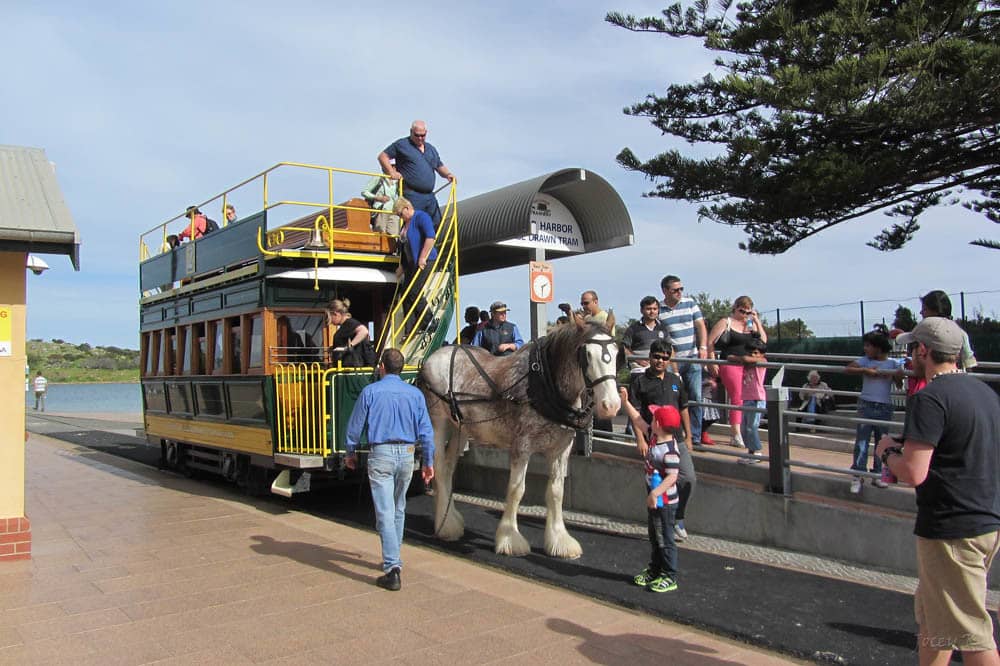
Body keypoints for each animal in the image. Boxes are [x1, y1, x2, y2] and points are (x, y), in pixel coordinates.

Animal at [416, 312, 616, 556]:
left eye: (616, 351)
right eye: (587, 354)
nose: (611, 405)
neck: (543, 382)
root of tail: (434, 356)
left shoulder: (561, 448)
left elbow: (556, 491)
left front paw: (559, 540)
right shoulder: (522, 445)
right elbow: (516, 490)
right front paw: (509, 539)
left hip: (460, 428)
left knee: (447, 468)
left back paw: (449, 520)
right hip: (438, 421)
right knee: (436, 465)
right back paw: (446, 527)